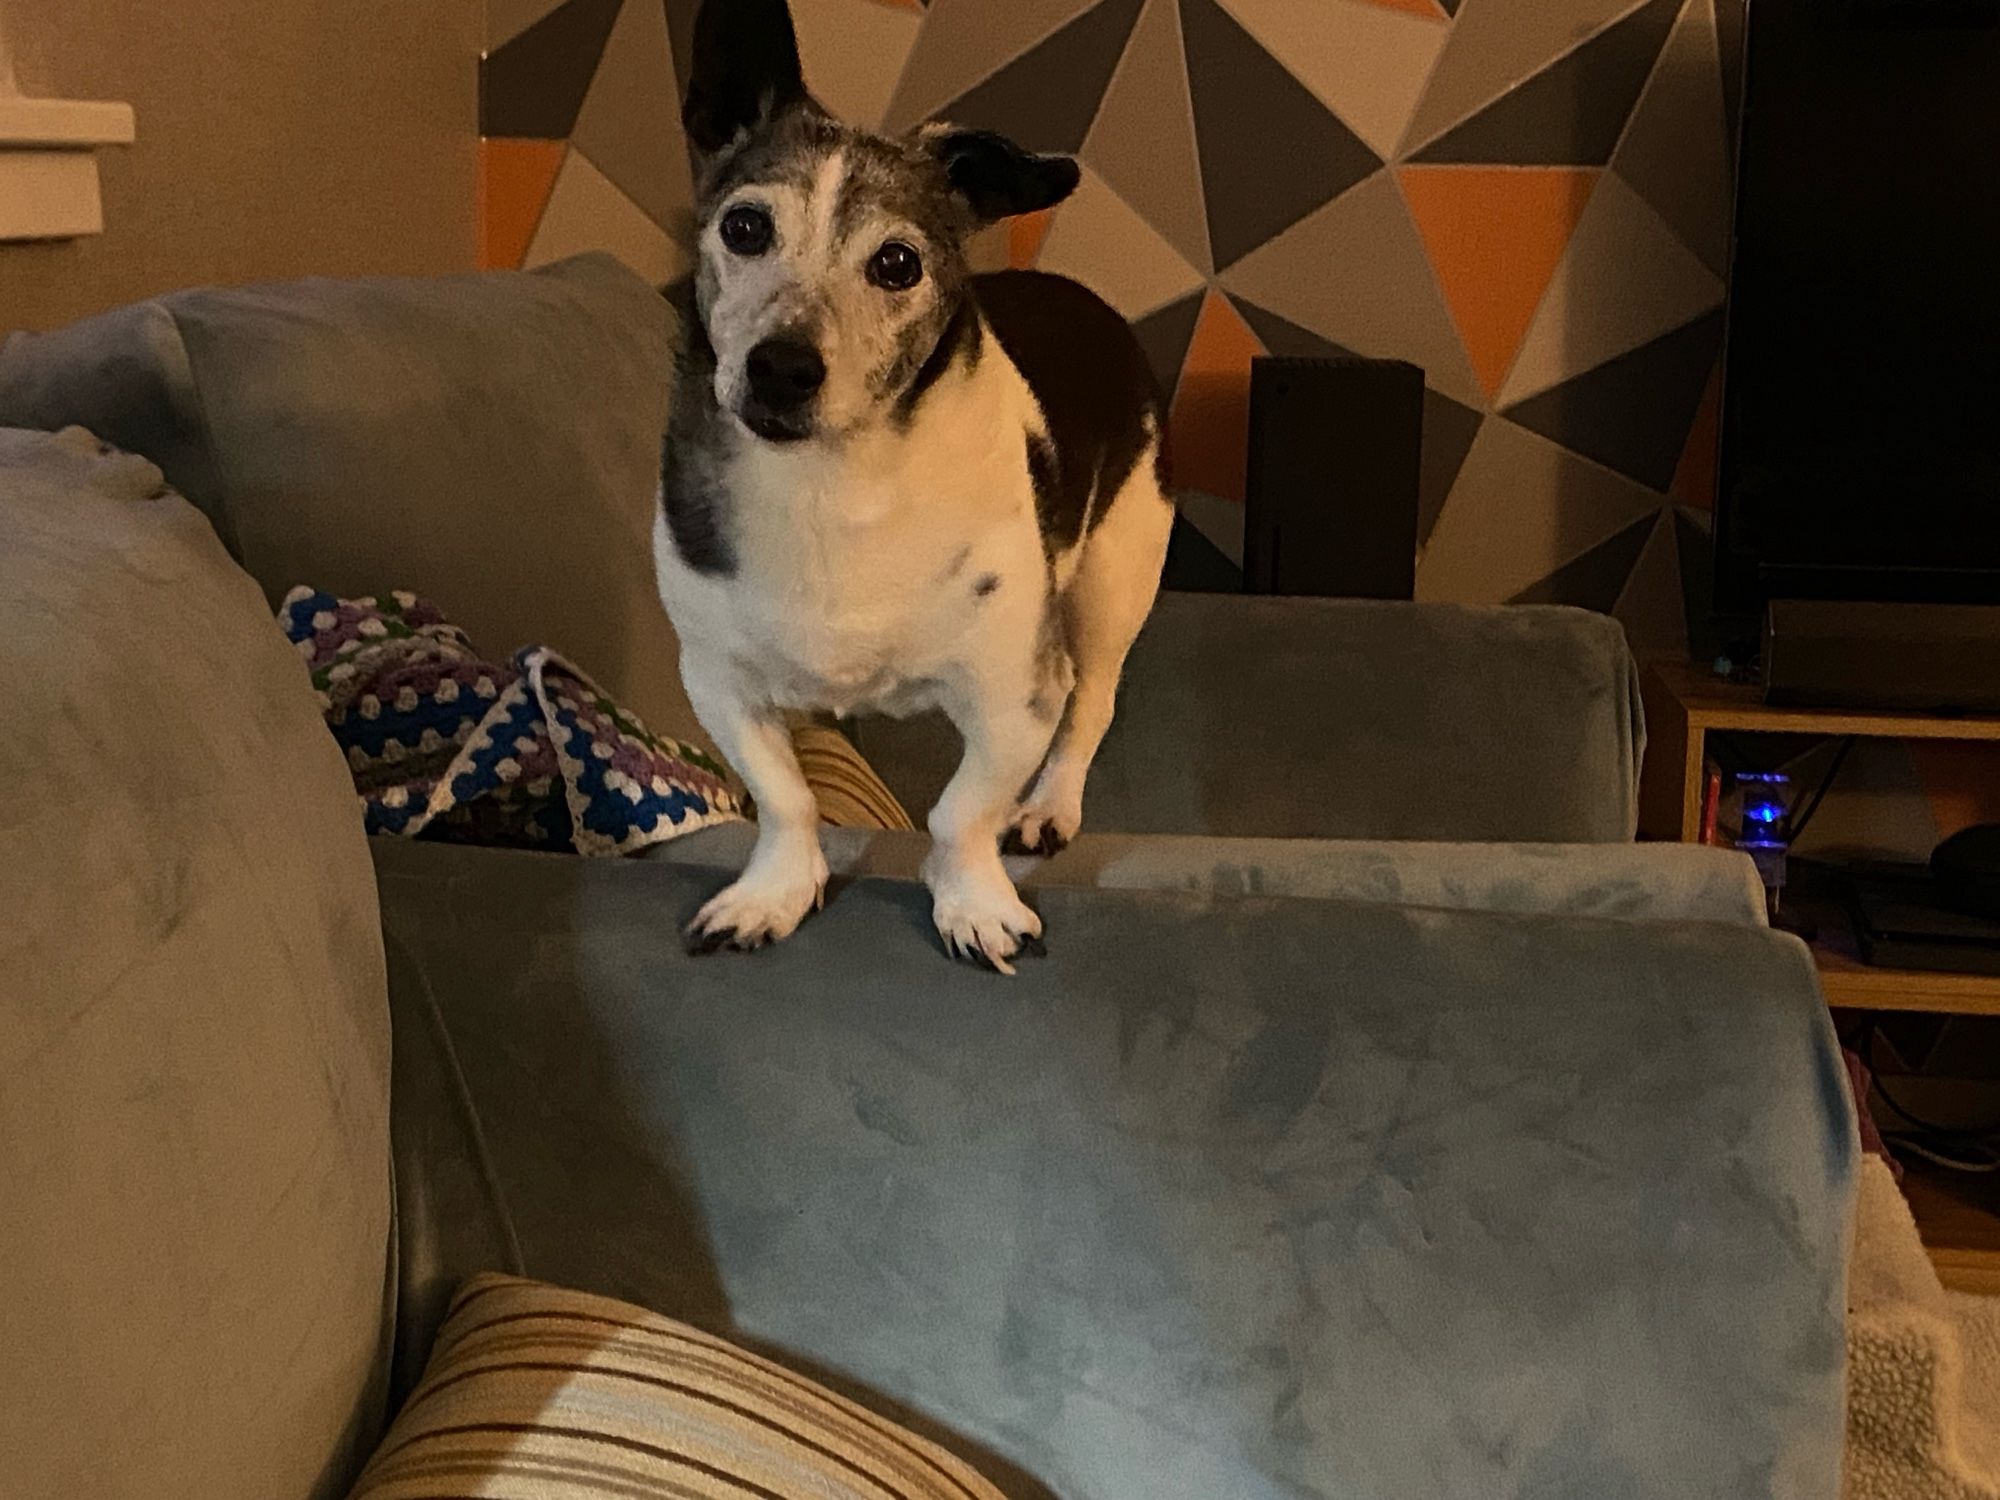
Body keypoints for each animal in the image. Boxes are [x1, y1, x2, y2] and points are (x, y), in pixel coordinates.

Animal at [660, 0, 1168, 976]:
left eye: (897, 265)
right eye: (744, 229)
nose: (781, 367)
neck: (832, 480)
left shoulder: (1014, 698)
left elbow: (960, 812)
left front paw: (974, 902)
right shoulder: (718, 680)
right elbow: (786, 798)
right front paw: (775, 892)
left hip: (1113, 582)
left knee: (1093, 701)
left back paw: (1048, 807)